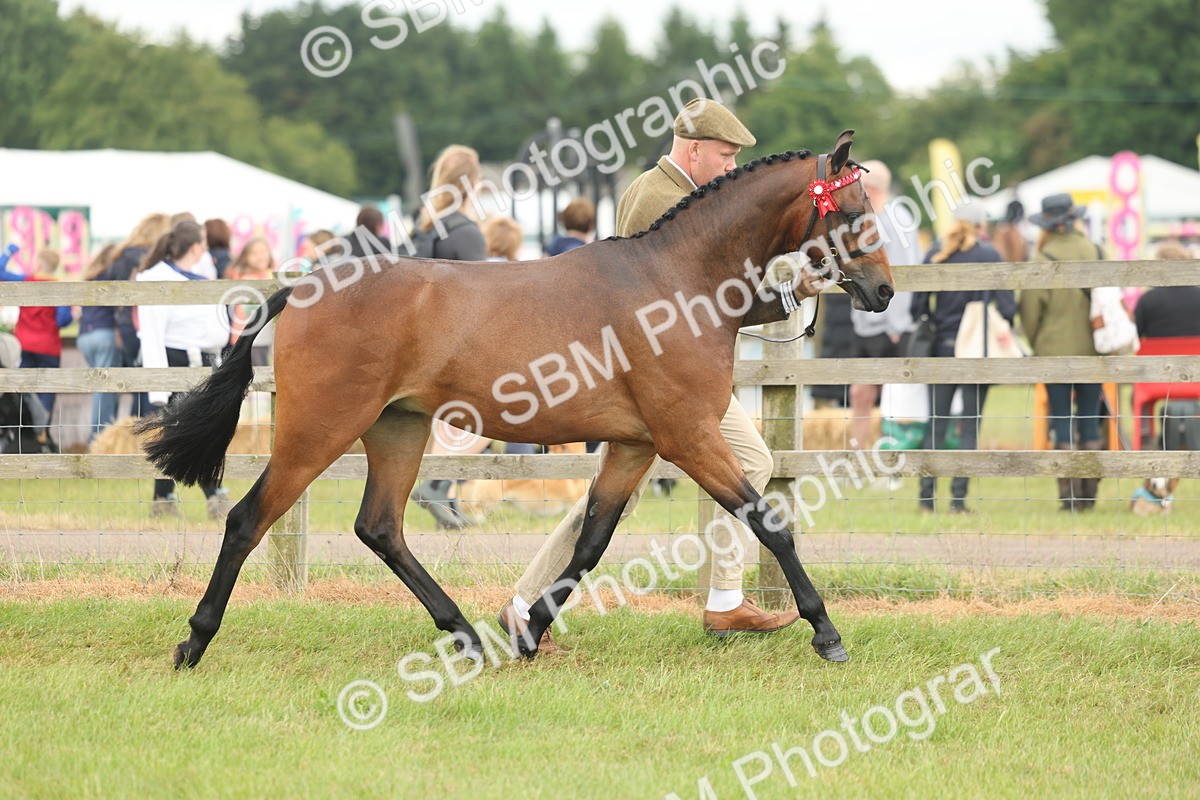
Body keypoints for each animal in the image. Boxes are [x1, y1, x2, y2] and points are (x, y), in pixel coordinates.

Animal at [138, 130, 894, 669]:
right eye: (855, 210)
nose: (884, 291)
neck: (679, 283)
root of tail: (301, 288)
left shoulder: (635, 445)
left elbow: (590, 541)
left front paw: (529, 631)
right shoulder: (687, 436)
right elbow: (769, 521)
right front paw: (825, 632)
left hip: (396, 430)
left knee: (381, 527)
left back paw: (466, 634)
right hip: (318, 430)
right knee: (247, 519)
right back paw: (194, 642)